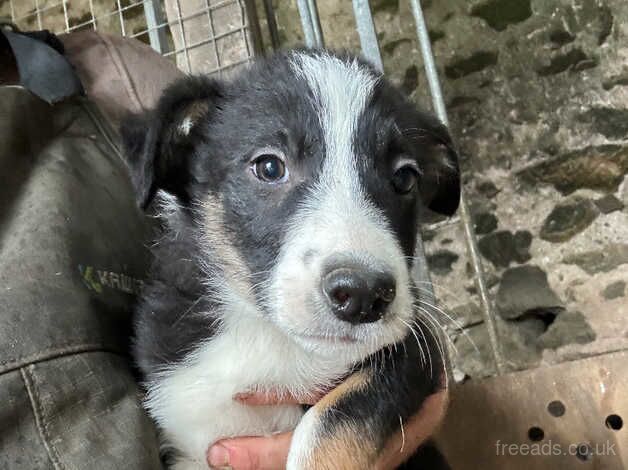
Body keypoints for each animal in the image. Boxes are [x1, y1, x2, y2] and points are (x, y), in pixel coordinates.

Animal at [122, 49, 458, 468]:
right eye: (269, 167)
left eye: (405, 179)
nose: (363, 295)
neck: (271, 337)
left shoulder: (414, 349)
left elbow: (331, 419)